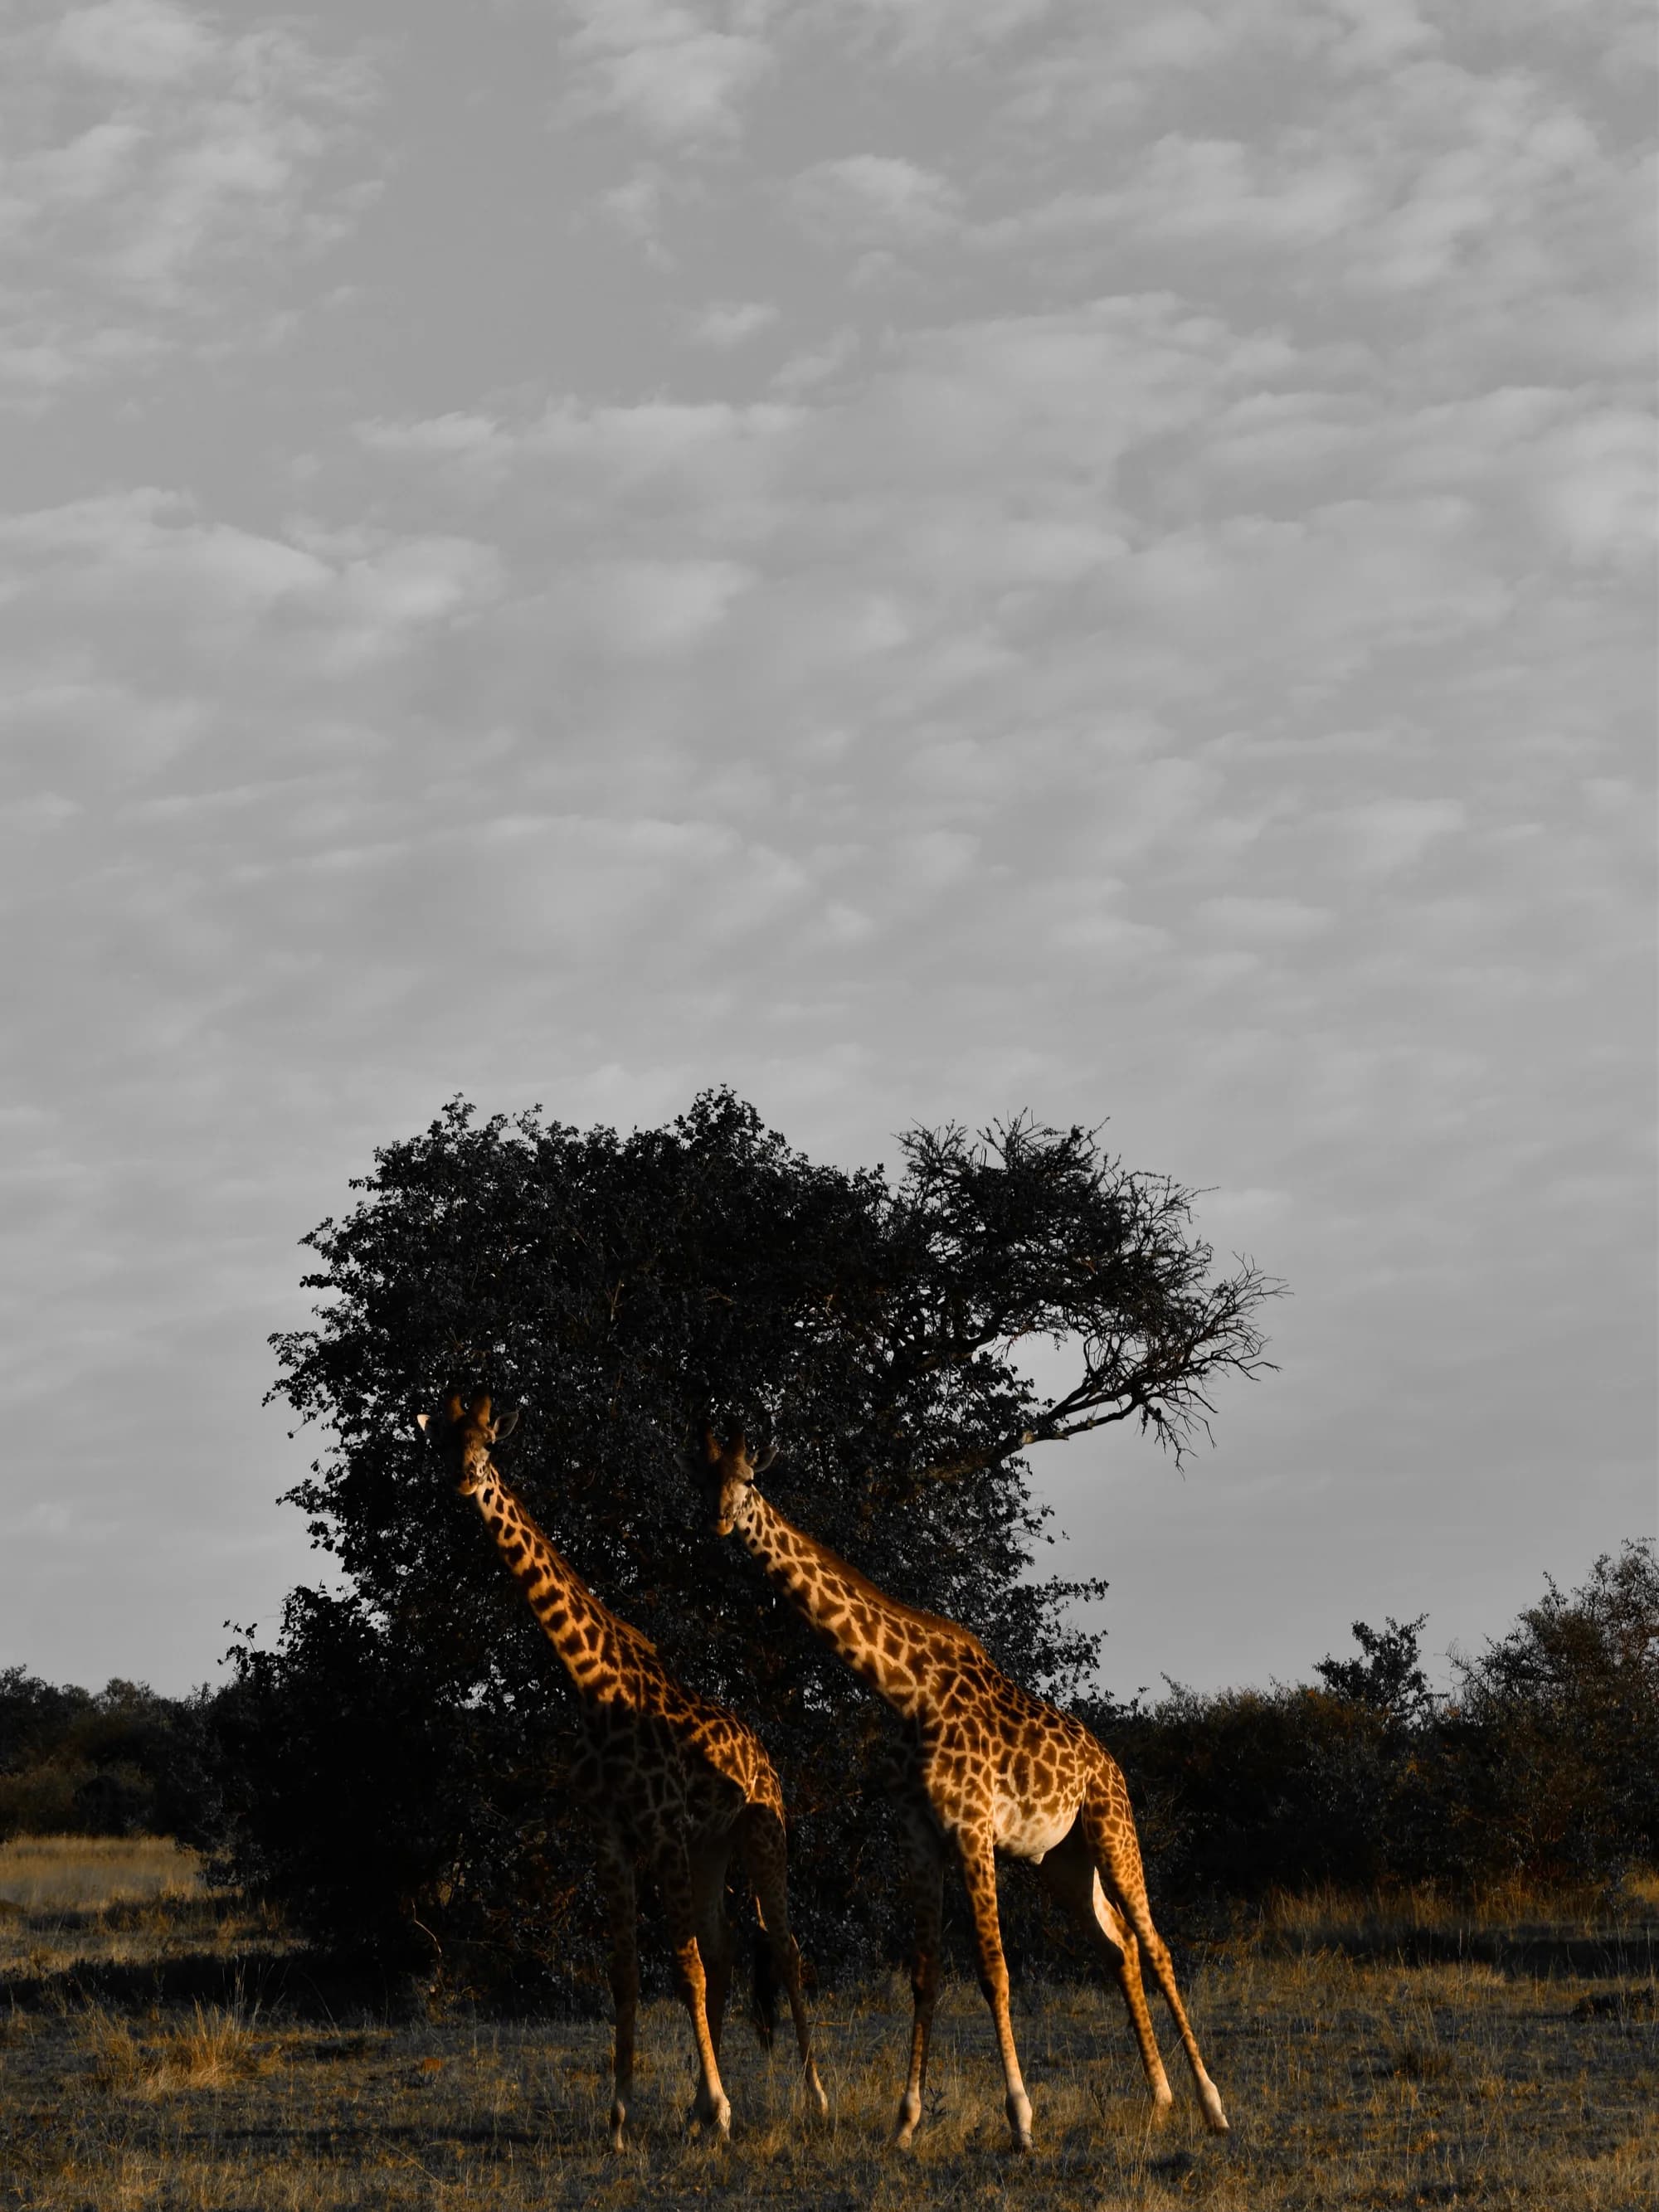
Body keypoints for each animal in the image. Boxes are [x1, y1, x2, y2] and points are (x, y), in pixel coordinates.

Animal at [418, 1393, 827, 2148]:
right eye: (445, 1444)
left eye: (488, 1443)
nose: (463, 1479)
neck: (591, 1682)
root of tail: (765, 1756)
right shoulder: (609, 1834)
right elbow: (626, 1973)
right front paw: (621, 2117)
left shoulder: (660, 1829)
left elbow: (684, 1969)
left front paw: (720, 2108)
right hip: (711, 1845)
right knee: (726, 1949)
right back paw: (697, 2107)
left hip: (763, 1834)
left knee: (783, 1947)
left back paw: (812, 2097)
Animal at [700, 1426, 1229, 2153]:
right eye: (706, 1477)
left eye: (750, 1481)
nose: (720, 1521)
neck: (905, 1688)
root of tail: (1110, 1762)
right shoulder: (920, 1836)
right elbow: (925, 1973)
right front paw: (905, 2121)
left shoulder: (972, 1828)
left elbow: (993, 1971)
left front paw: (1021, 2118)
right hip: (1064, 1861)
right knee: (1117, 1945)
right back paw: (1159, 2098)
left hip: (1112, 1829)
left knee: (1155, 1945)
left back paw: (1211, 2105)